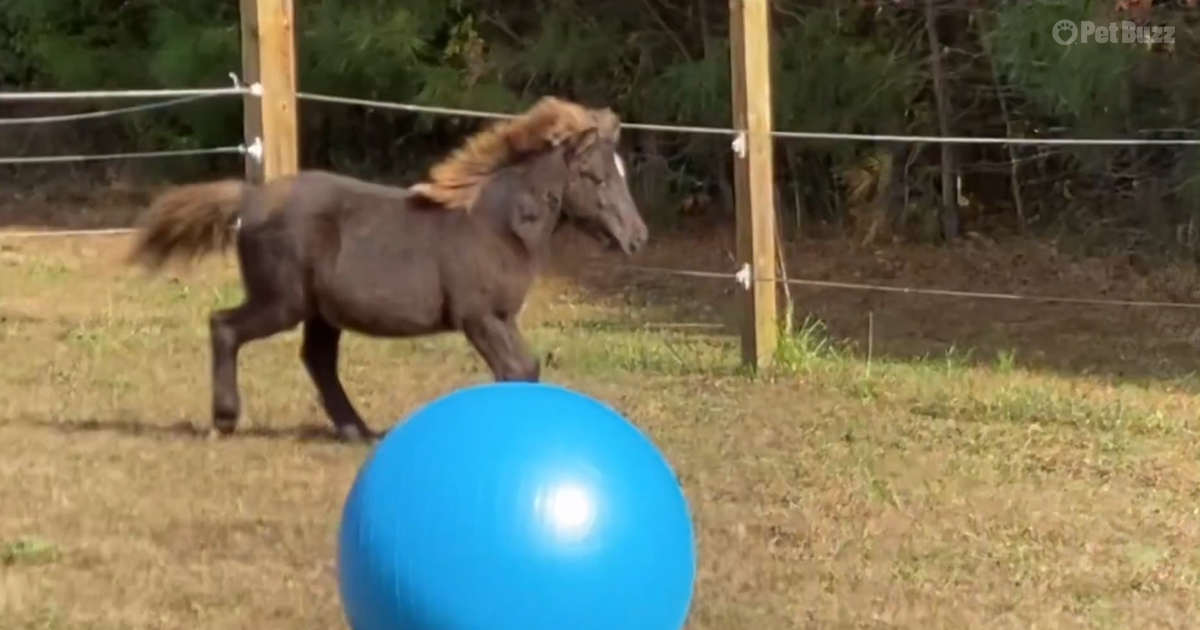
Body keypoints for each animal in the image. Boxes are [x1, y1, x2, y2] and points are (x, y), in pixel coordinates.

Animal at [125, 96, 649, 442]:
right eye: (597, 177)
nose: (637, 238)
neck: (494, 223)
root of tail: (250, 199)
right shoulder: (479, 317)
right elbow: (516, 369)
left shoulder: (501, 317)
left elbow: (527, 368)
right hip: (282, 302)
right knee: (224, 327)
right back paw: (226, 419)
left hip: (320, 312)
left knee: (317, 359)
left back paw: (356, 429)